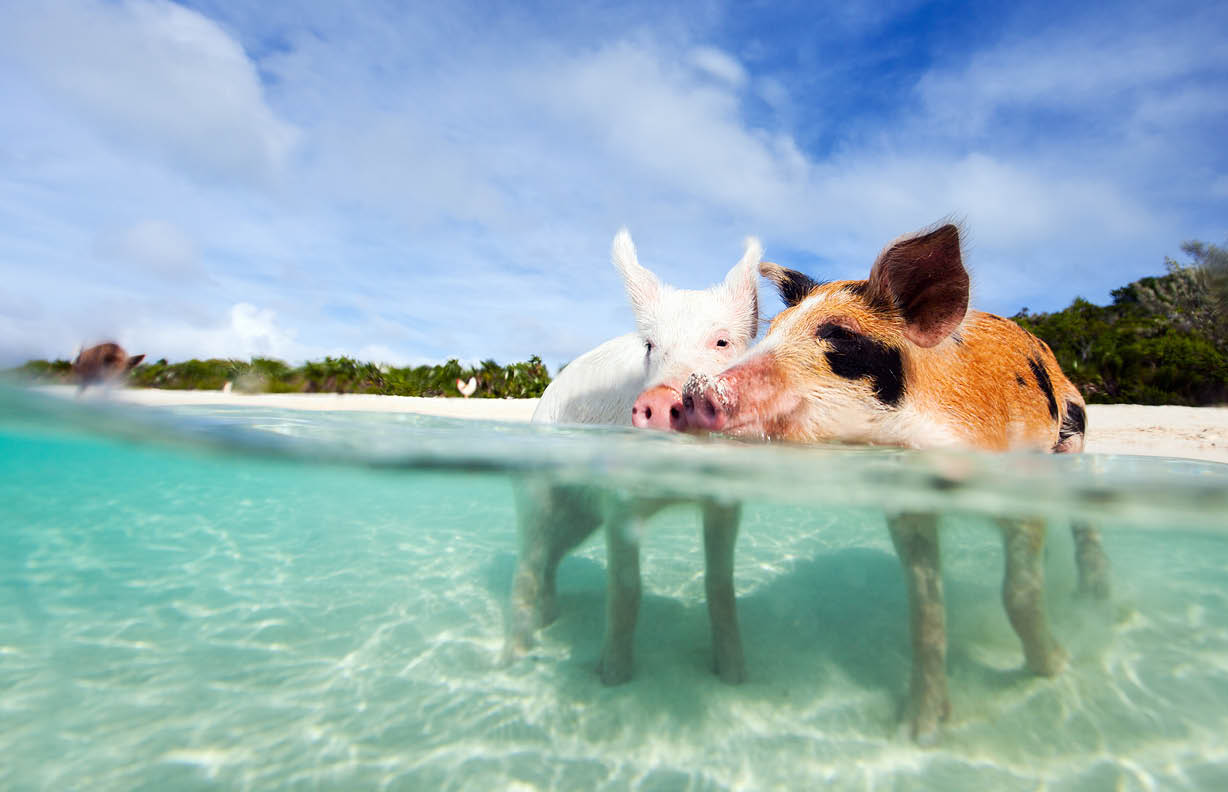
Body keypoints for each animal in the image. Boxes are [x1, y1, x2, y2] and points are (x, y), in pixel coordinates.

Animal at [504, 228, 762, 685]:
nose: (659, 400)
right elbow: (626, 587)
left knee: (551, 557)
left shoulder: (725, 499)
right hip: (537, 489)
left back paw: (550, 619)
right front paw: (612, 677)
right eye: (650, 346)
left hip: (579, 518)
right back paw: (513, 660)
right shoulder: (619, 500)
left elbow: (719, 584)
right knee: (528, 563)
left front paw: (735, 676)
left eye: (722, 341)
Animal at [678, 222, 1111, 740]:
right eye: (773, 329)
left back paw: (1094, 600)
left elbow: (1019, 593)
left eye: (840, 336)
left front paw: (1054, 668)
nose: (694, 390)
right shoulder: (908, 508)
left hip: (1074, 438)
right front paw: (919, 730)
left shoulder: (1020, 485)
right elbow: (926, 610)